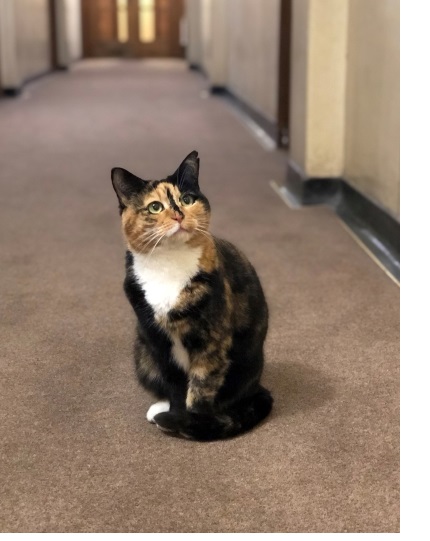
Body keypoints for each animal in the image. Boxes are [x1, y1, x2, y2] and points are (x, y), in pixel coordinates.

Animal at [111, 149, 272, 438]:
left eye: (187, 199)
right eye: (155, 206)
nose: (178, 216)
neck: (168, 265)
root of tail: (258, 386)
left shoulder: (212, 340)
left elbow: (201, 388)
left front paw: (191, 422)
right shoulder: (157, 340)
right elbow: (174, 384)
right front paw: (174, 413)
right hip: (142, 352)